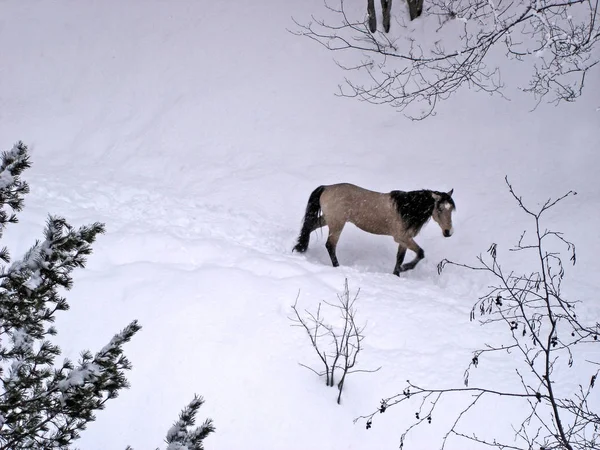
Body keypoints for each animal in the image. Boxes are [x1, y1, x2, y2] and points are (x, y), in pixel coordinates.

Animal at [294, 183, 454, 274]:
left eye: (451, 209)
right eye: (439, 208)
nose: (448, 232)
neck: (406, 208)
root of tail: (326, 188)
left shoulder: (403, 240)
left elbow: (399, 258)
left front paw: (397, 273)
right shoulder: (402, 237)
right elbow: (420, 253)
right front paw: (405, 268)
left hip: (329, 219)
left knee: (309, 227)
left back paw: (300, 248)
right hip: (337, 224)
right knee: (330, 245)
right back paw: (337, 267)